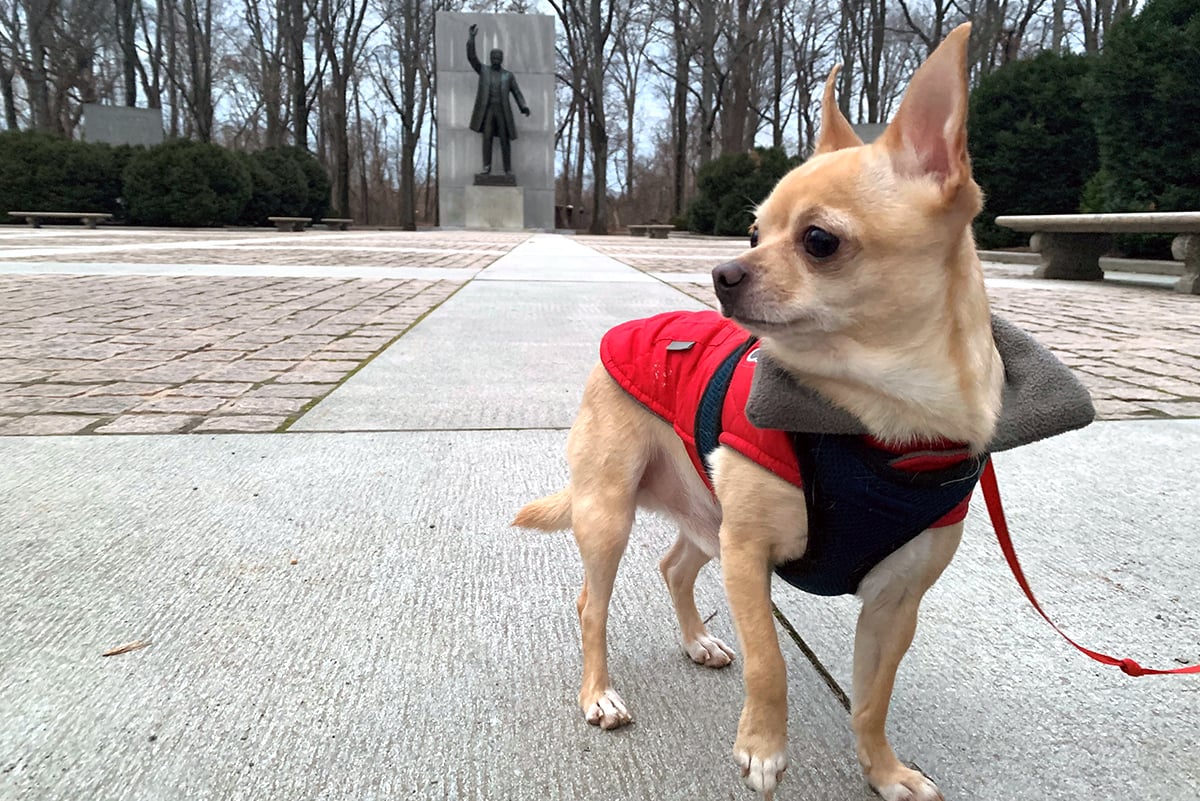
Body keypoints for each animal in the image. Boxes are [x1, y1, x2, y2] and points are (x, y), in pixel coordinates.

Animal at [513, 25, 993, 801]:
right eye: (751, 234)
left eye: (819, 240)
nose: (719, 274)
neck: (873, 421)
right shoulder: (748, 555)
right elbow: (772, 662)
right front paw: (763, 748)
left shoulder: (894, 603)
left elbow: (873, 698)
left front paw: (885, 770)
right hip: (610, 509)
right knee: (593, 603)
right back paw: (599, 694)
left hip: (706, 514)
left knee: (674, 566)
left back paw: (696, 640)